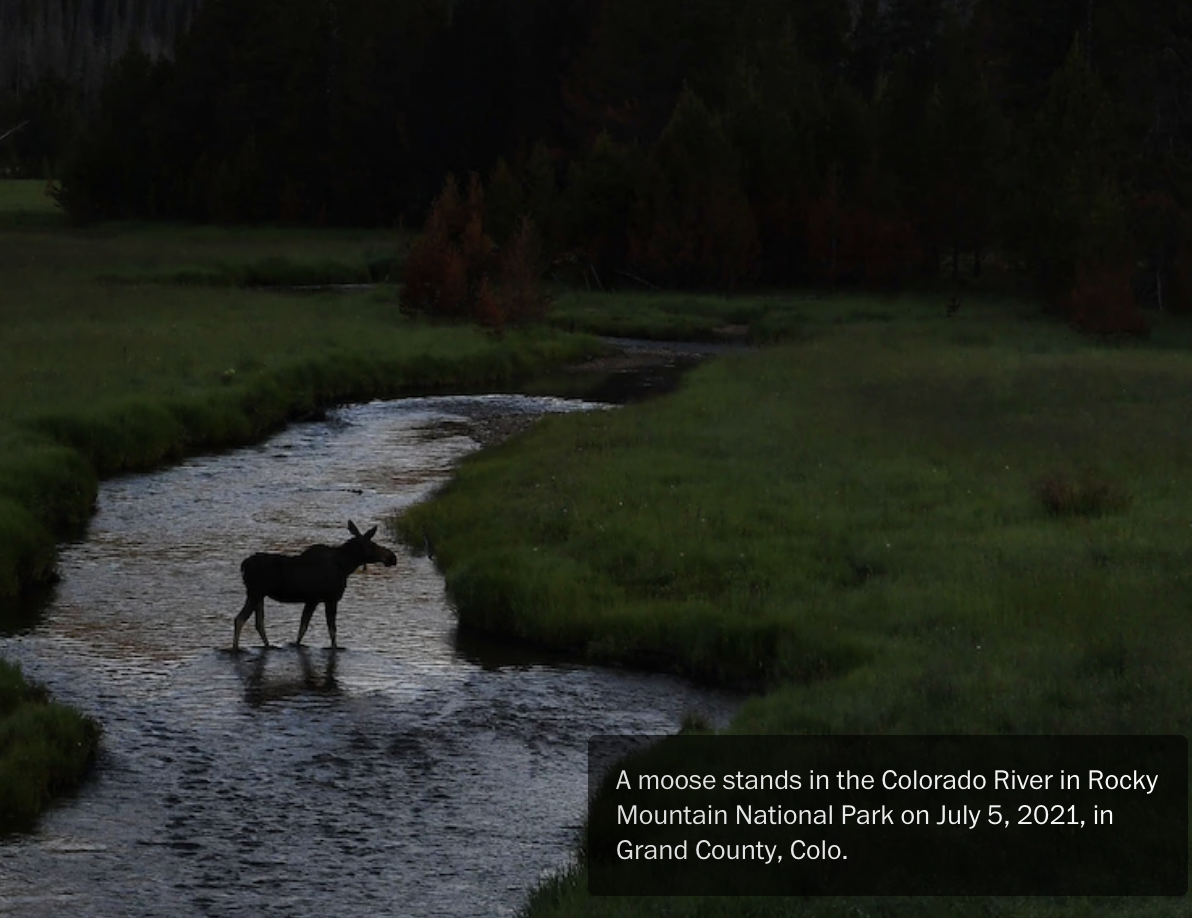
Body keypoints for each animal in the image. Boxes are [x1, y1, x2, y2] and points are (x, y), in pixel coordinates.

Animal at [231, 519, 395, 648]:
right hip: (255, 593)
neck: (345, 566)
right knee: (240, 619)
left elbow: (302, 629)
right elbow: (332, 631)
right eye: (372, 545)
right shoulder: (330, 599)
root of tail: (244, 565)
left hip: (259, 595)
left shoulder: (312, 600)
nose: (392, 557)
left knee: (259, 623)